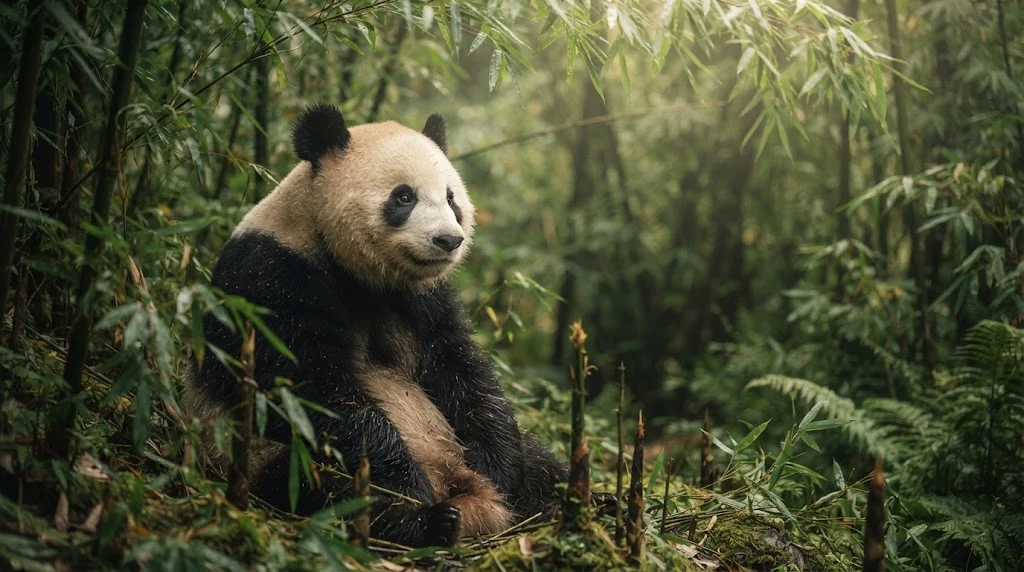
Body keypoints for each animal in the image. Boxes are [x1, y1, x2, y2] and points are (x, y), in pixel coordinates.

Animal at [184, 103, 570, 548]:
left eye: (451, 198)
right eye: (404, 196)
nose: (448, 240)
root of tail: (451, 479)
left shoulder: (422, 299)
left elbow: (461, 368)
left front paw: (498, 470)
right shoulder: (272, 279)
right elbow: (316, 391)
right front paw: (406, 486)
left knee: (541, 462)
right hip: (253, 452)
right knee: (318, 484)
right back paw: (426, 520)